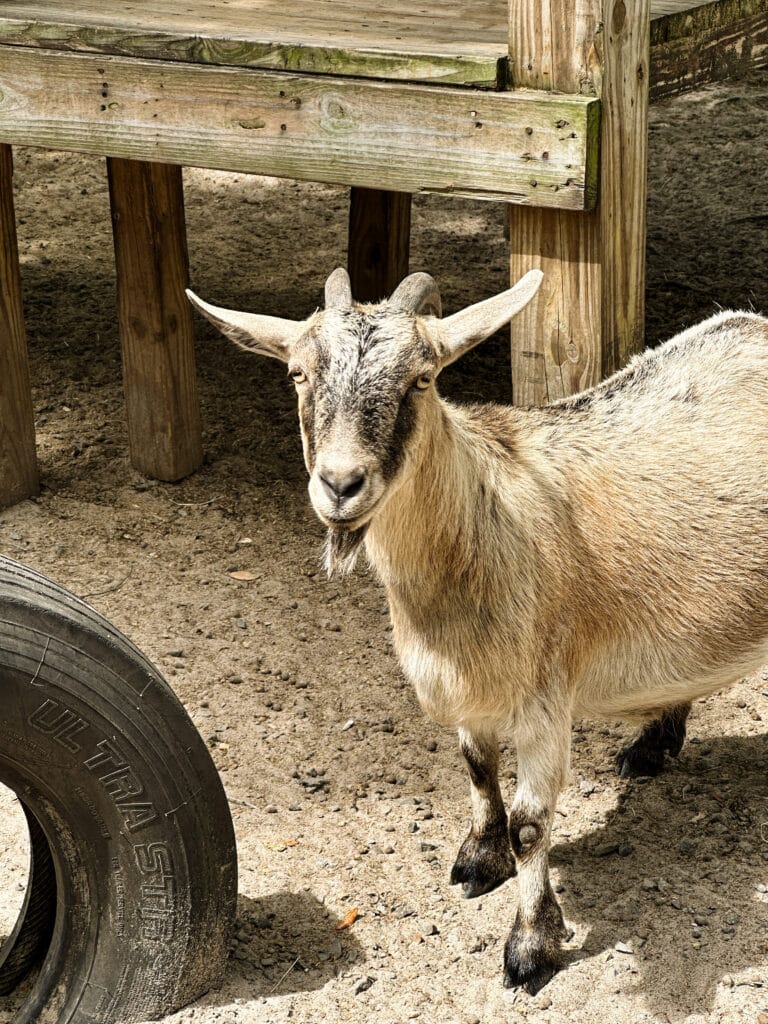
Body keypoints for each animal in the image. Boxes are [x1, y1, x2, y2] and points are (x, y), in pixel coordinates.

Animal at [187, 269, 768, 993]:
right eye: (297, 373)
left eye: (422, 379)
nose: (340, 485)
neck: (486, 523)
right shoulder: (469, 690)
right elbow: (477, 768)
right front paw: (477, 860)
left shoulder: (545, 695)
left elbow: (530, 826)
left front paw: (530, 946)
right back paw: (652, 744)